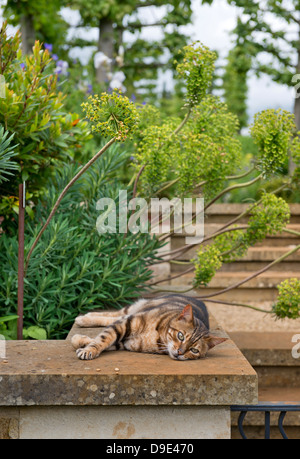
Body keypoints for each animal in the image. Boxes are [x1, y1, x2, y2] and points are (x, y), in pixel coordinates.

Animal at [72, 296, 227, 362]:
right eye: (181, 336)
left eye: (194, 350)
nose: (180, 352)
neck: (157, 338)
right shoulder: (126, 323)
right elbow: (103, 338)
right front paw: (88, 349)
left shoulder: (126, 342)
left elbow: (106, 340)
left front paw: (82, 342)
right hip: (134, 309)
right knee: (116, 314)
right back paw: (84, 318)